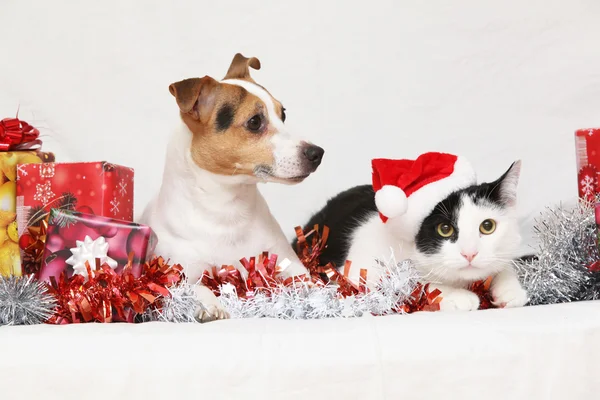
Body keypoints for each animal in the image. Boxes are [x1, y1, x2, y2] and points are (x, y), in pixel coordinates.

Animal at [139, 53, 324, 322]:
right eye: (255, 121)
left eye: (283, 114)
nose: (317, 153)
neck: (228, 208)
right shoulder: (176, 273)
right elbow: (196, 287)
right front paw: (210, 305)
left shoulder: (288, 262)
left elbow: (307, 280)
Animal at [298, 159, 528, 310]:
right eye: (445, 229)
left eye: (487, 226)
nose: (469, 253)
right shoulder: (359, 270)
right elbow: (408, 284)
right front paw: (456, 295)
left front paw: (510, 289)